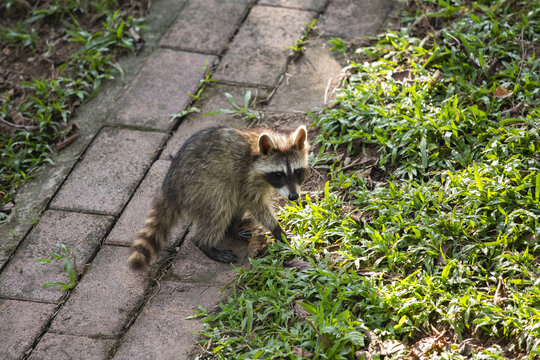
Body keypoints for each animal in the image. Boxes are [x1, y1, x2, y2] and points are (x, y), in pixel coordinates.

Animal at [127, 125, 310, 268]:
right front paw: (277, 229)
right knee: (219, 209)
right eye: (278, 175)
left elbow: (247, 202)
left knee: (234, 202)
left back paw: (232, 229)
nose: (293, 196)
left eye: (297, 172)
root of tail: (170, 184)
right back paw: (205, 244)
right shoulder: (247, 178)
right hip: (202, 187)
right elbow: (257, 206)